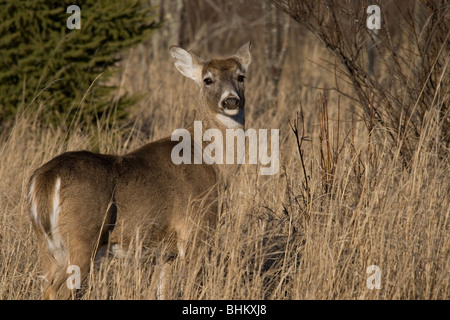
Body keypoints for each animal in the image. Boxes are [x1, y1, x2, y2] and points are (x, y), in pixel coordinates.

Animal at [28, 41, 251, 298]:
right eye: (208, 79)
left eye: (241, 76)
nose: (231, 101)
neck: (213, 165)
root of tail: (45, 178)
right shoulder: (197, 229)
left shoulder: (166, 252)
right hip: (83, 237)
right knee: (59, 289)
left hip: (46, 244)